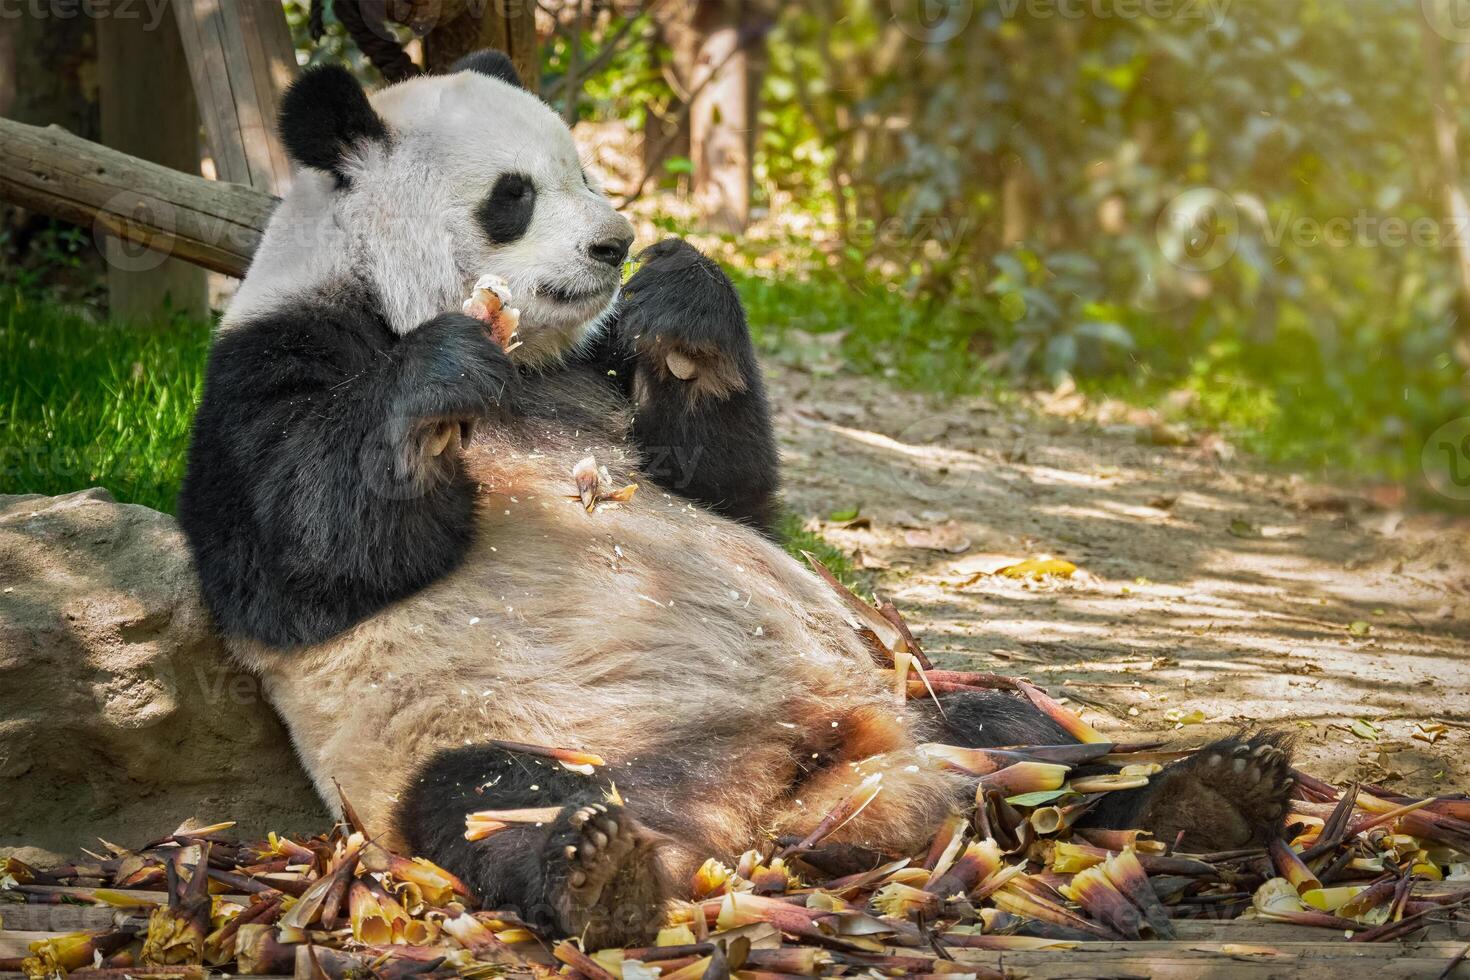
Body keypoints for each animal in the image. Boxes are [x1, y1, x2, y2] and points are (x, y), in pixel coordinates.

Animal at [177, 51, 1293, 940]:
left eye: (585, 169)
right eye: (513, 195)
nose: (614, 243)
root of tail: (774, 798)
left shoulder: (595, 369)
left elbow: (725, 487)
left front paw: (684, 298)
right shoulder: (265, 363)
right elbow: (301, 553)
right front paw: (440, 374)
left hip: (906, 692)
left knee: (1022, 732)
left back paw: (1201, 795)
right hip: (485, 727)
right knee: (494, 795)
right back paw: (599, 873)